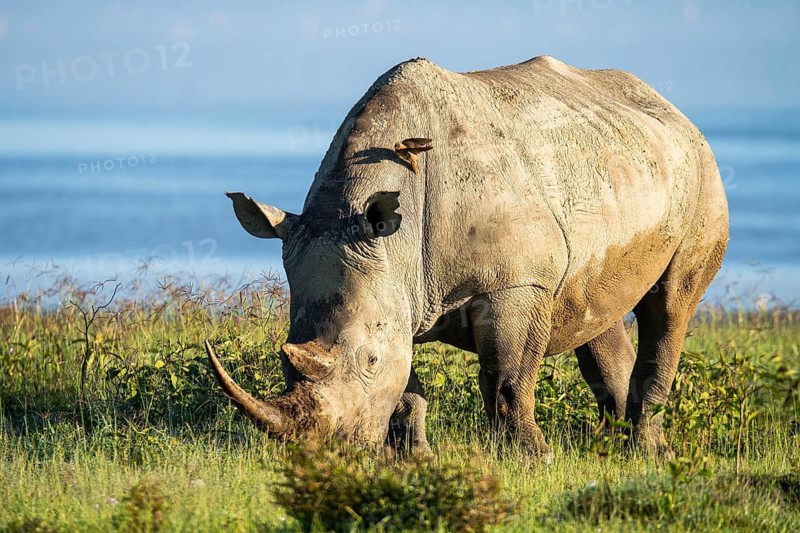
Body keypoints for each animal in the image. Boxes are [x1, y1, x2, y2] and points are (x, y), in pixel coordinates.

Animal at [206, 55, 729, 457]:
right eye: (285, 359)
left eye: (369, 360)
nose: (329, 455)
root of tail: (673, 110)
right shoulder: (398, 287)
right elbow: (407, 389)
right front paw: (415, 459)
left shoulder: (514, 282)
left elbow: (507, 378)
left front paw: (531, 458)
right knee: (597, 311)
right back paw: (611, 445)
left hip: (702, 171)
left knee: (670, 305)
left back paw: (647, 453)